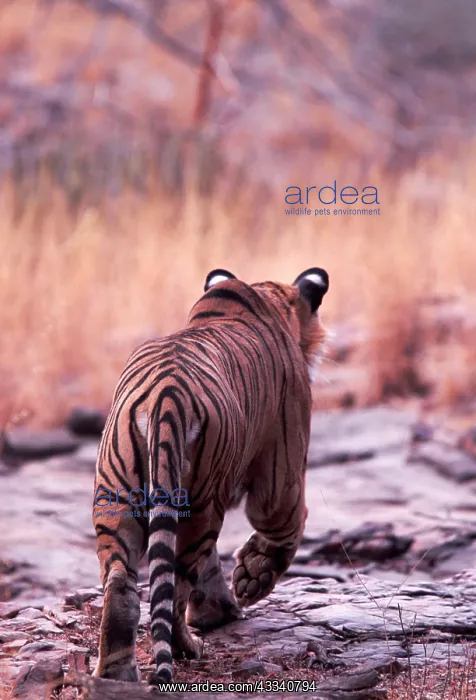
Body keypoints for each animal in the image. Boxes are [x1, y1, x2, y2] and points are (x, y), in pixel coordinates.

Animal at [92, 267, 329, 685]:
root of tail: (166, 396)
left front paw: (221, 608)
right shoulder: (281, 470)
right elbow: (287, 525)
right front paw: (252, 579)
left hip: (116, 496)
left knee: (122, 581)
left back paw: (115, 673)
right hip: (200, 507)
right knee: (175, 587)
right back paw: (189, 647)